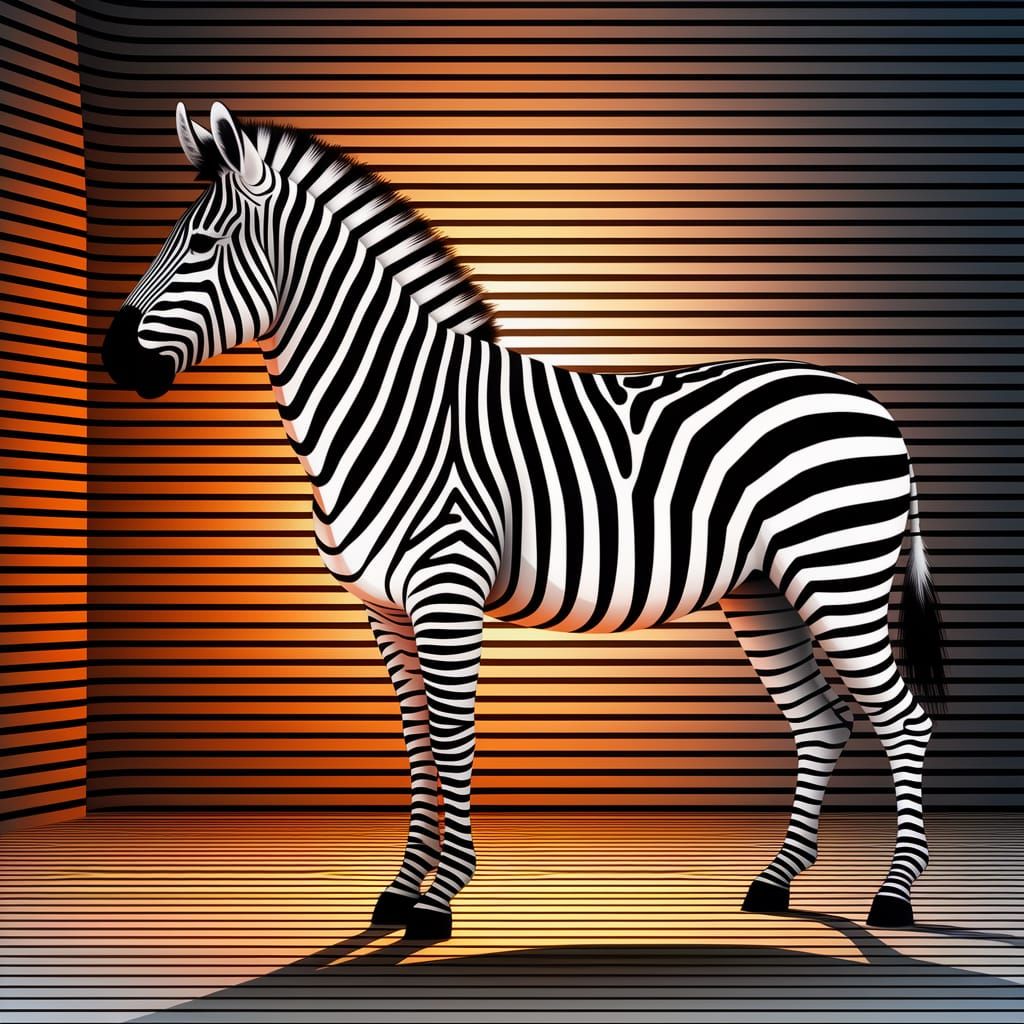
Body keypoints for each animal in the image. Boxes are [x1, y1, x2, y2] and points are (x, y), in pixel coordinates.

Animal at [102, 102, 948, 941]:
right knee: (821, 722)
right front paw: (400, 889)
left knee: (903, 720)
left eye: (203, 245)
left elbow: (450, 736)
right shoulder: (383, 607)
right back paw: (775, 884)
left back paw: (894, 896)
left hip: (839, 579)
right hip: (763, 591)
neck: (390, 404)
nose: (112, 359)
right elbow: (417, 742)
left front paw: (441, 898)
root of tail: (871, 404)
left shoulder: (447, 591)